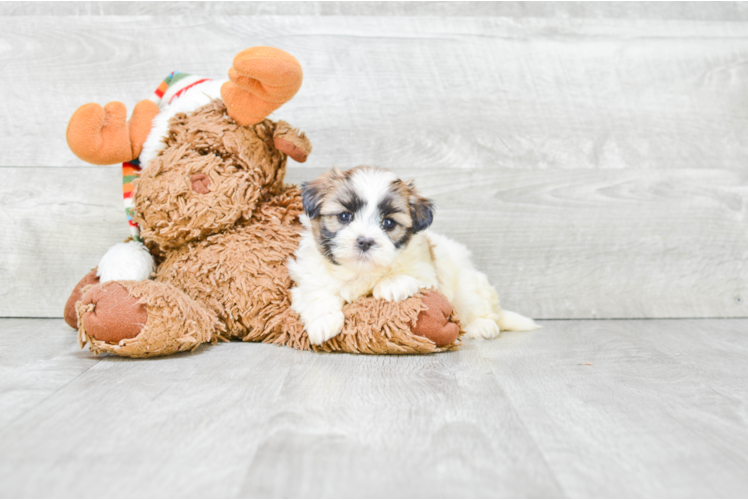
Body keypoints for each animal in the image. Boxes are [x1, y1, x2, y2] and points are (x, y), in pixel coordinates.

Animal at [286, 166, 536, 346]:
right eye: (345, 216)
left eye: (388, 223)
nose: (365, 241)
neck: (361, 271)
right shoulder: (308, 277)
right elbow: (316, 293)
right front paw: (323, 322)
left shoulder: (426, 271)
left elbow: (411, 277)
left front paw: (392, 284)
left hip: (468, 284)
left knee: (477, 306)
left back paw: (482, 326)